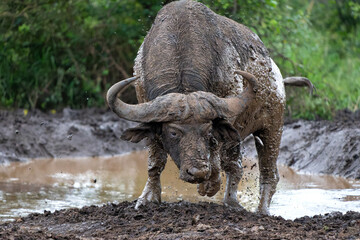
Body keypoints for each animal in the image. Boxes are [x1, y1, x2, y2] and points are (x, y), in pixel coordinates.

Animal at [106, 0, 312, 214]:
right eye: (173, 132)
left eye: (207, 131)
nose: (197, 172)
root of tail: (277, 77)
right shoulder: (146, 108)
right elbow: (155, 161)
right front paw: (148, 198)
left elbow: (219, 154)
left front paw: (210, 185)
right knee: (239, 166)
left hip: (273, 127)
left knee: (265, 172)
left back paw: (259, 210)